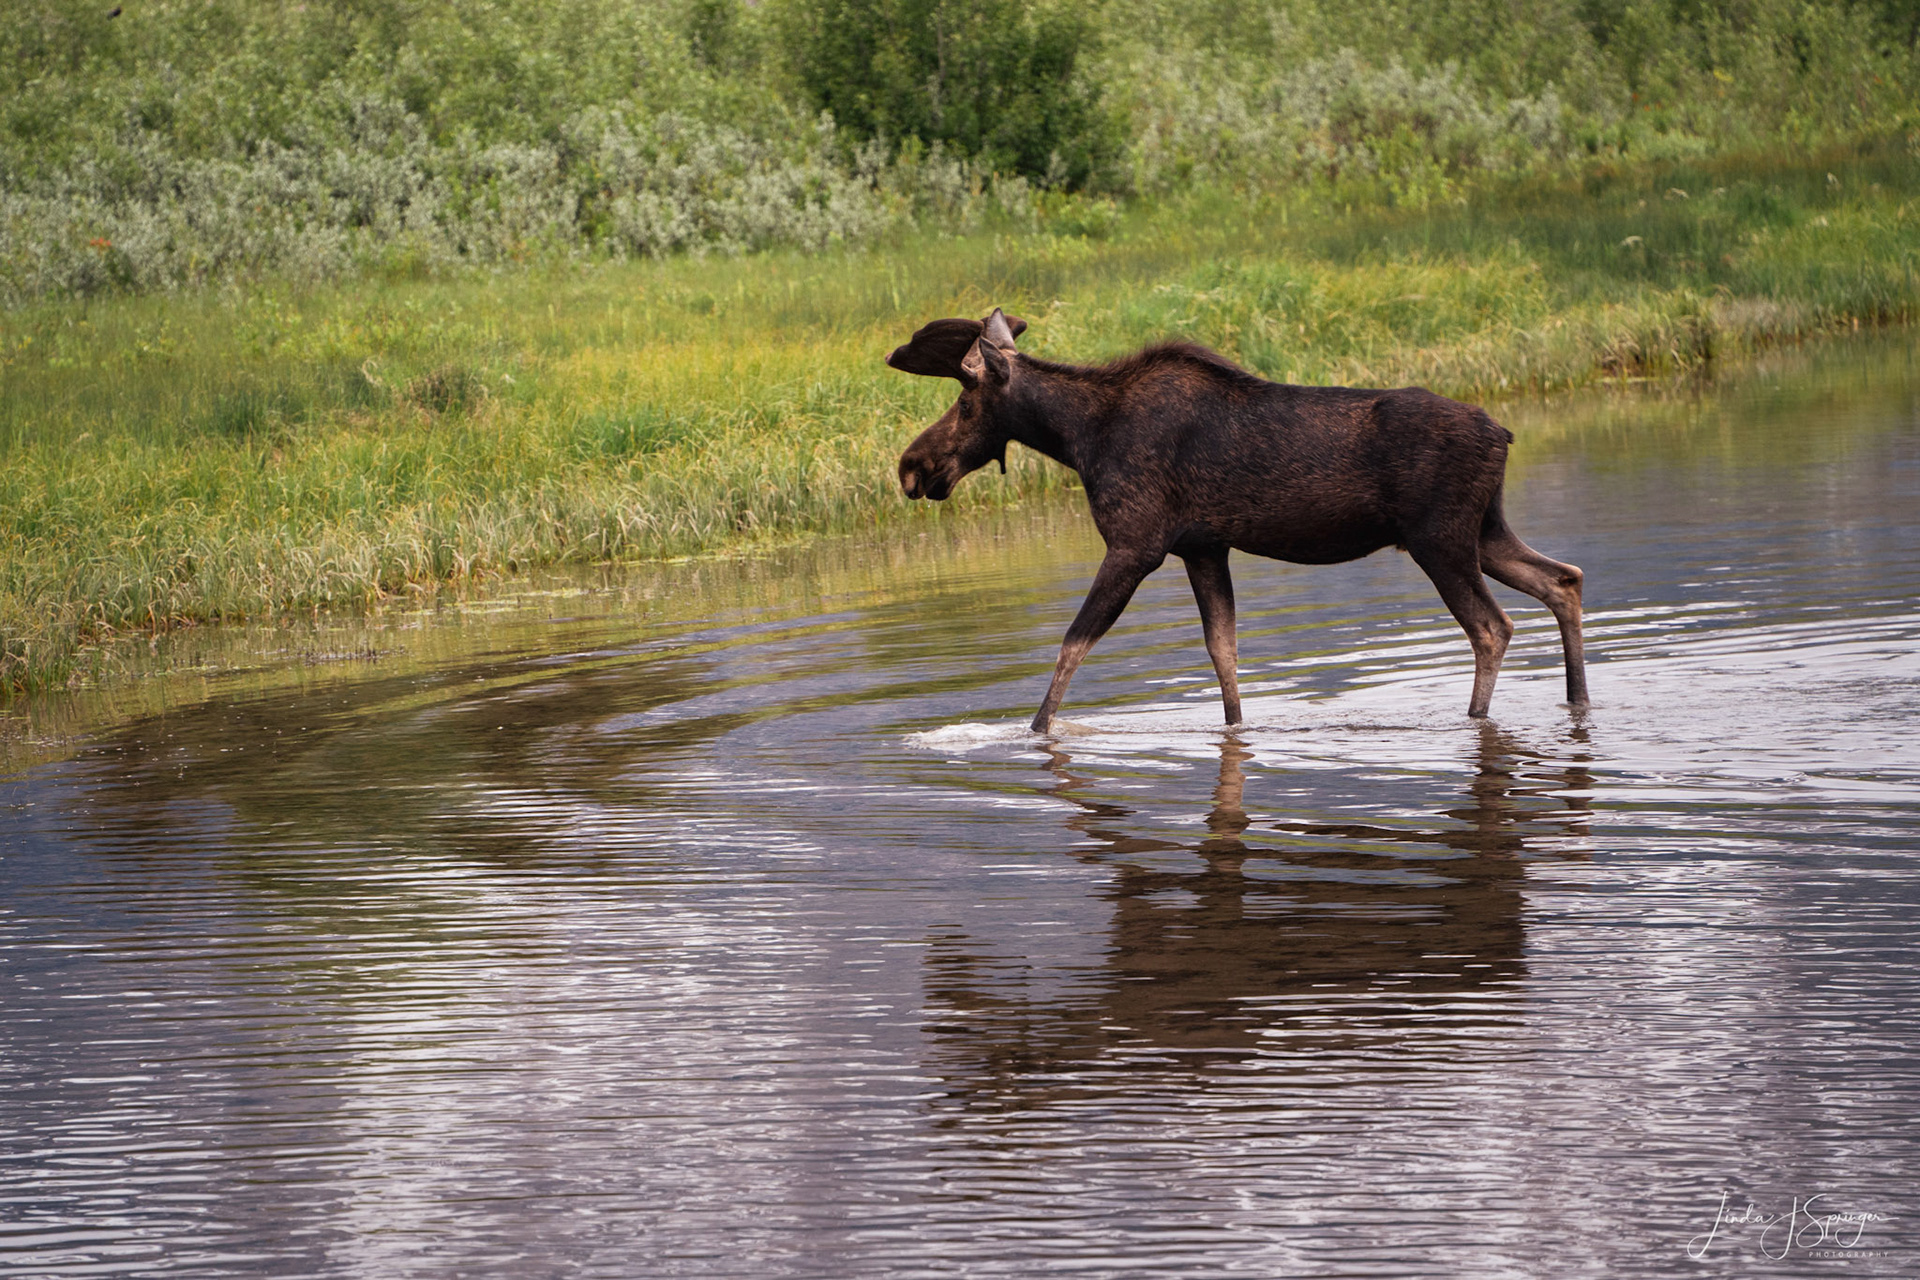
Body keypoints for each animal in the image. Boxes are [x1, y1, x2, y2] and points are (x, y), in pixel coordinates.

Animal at [888, 309, 1589, 734]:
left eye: (965, 402)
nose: (911, 466)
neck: (1078, 438)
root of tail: (1503, 434)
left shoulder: (1135, 543)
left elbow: (1072, 646)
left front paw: (1031, 733)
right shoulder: (1203, 547)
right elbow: (1222, 653)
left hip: (1439, 539)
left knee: (1492, 628)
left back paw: (1477, 721)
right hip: (1484, 529)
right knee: (1563, 579)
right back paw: (1577, 700)